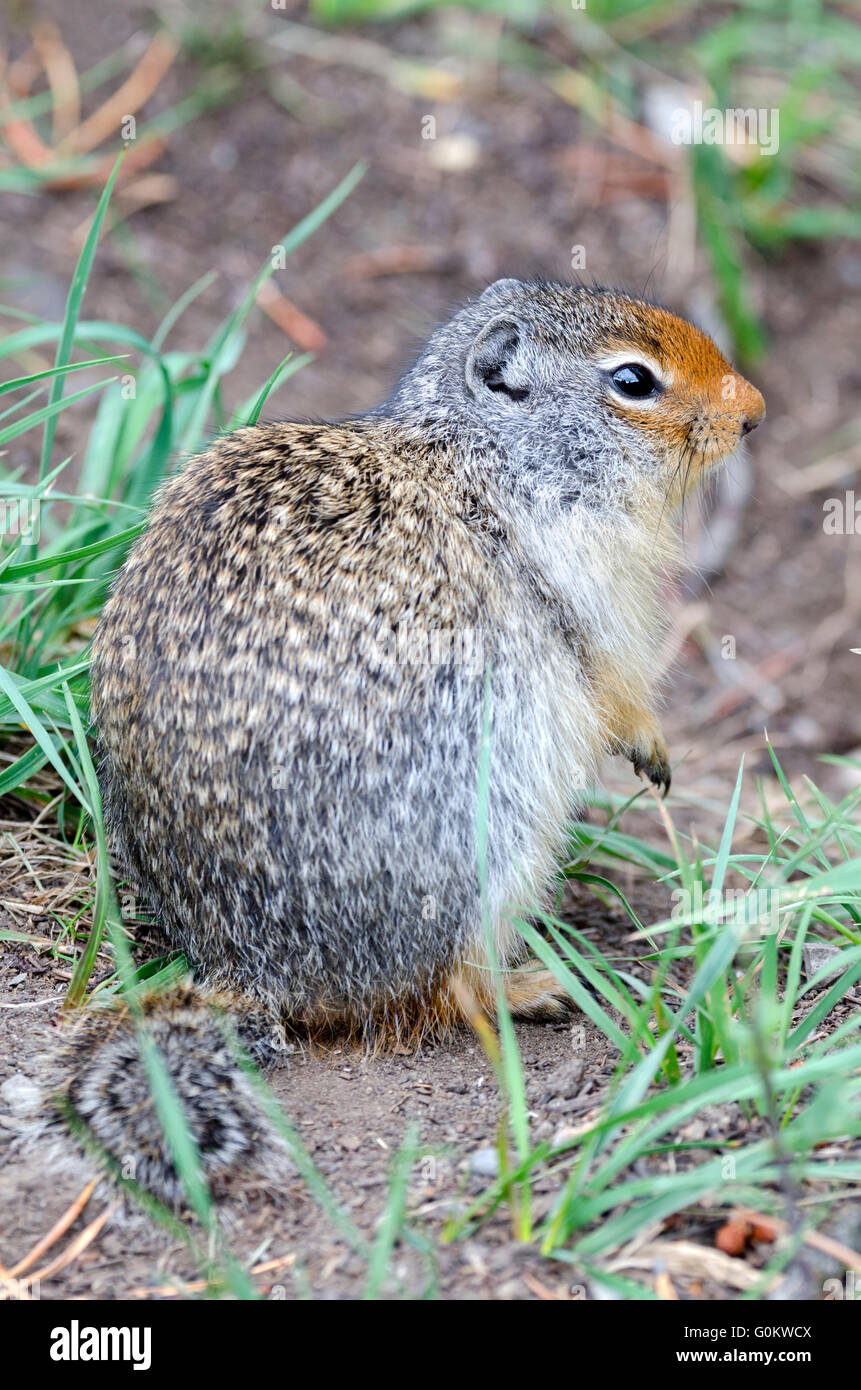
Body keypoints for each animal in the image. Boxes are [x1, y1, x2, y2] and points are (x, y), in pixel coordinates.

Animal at [60, 279, 763, 1205]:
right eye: (633, 382)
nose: (753, 411)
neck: (484, 453)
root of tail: (249, 974)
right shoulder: (584, 586)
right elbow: (614, 684)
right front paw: (651, 748)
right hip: (497, 845)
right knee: (444, 991)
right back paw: (532, 987)